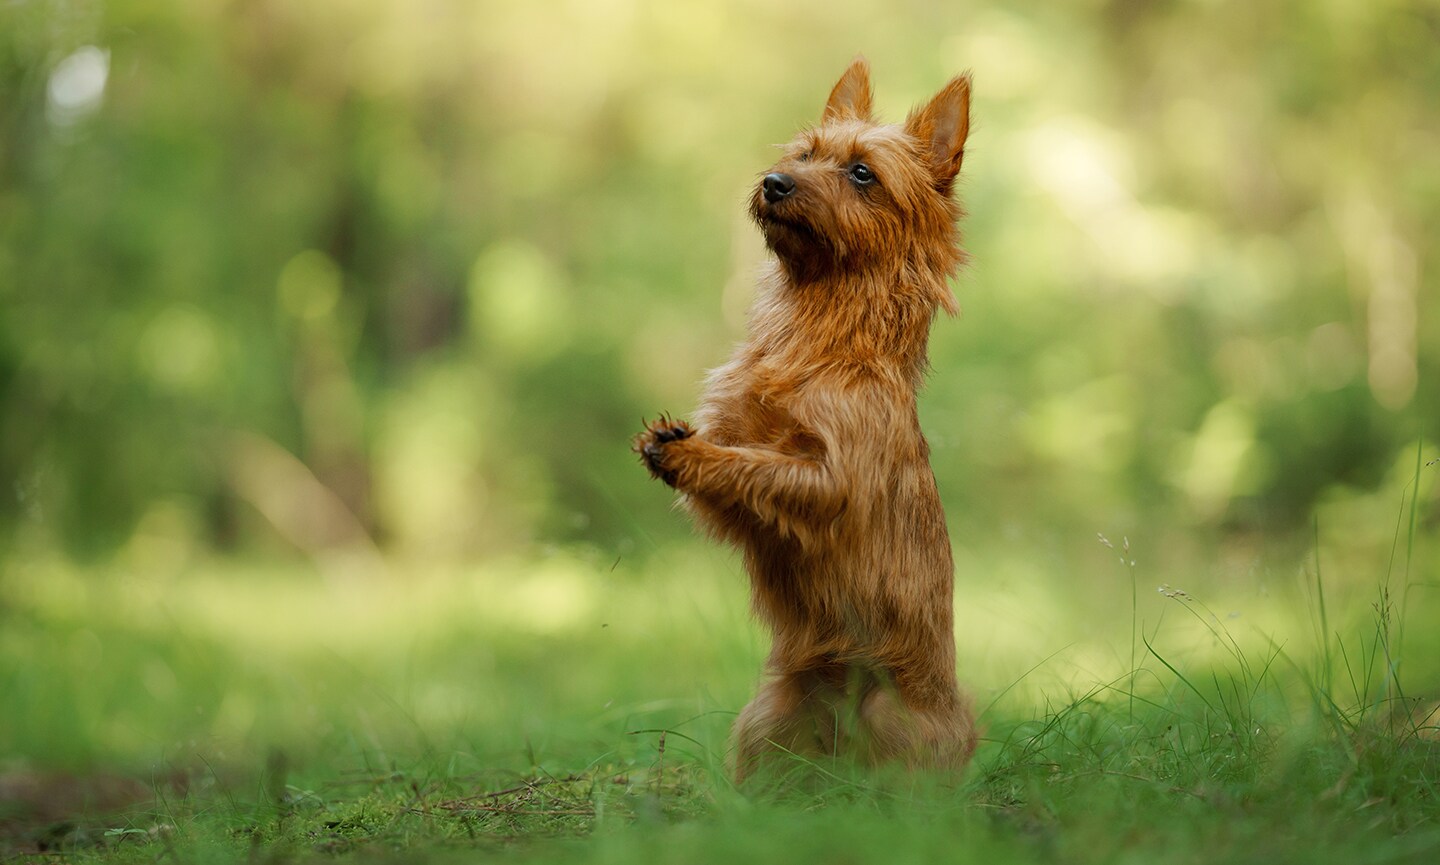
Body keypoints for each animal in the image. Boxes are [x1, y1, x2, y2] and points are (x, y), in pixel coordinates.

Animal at [633, 57, 979, 777]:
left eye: (862, 173)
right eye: (803, 154)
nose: (775, 182)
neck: (816, 335)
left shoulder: (836, 479)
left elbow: (759, 468)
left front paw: (693, 454)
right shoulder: (736, 438)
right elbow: (736, 459)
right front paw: (676, 444)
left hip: (896, 726)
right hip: (767, 722)